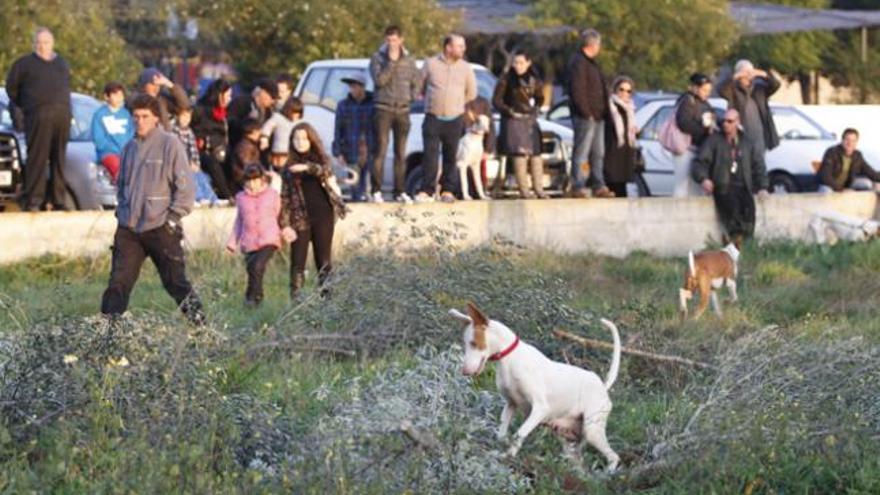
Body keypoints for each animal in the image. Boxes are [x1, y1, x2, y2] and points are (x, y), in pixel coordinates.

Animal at [450, 302, 624, 472]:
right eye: (466, 344)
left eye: (473, 343)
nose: (464, 371)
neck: (510, 359)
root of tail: (602, 386)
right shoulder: (510, 404)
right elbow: (502, 433)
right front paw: (497, 450)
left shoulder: (540, 409)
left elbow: (519, 434)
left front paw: (508, 456)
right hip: (569, 440)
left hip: (592, 431)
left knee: (614, 457)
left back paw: (606, 474)